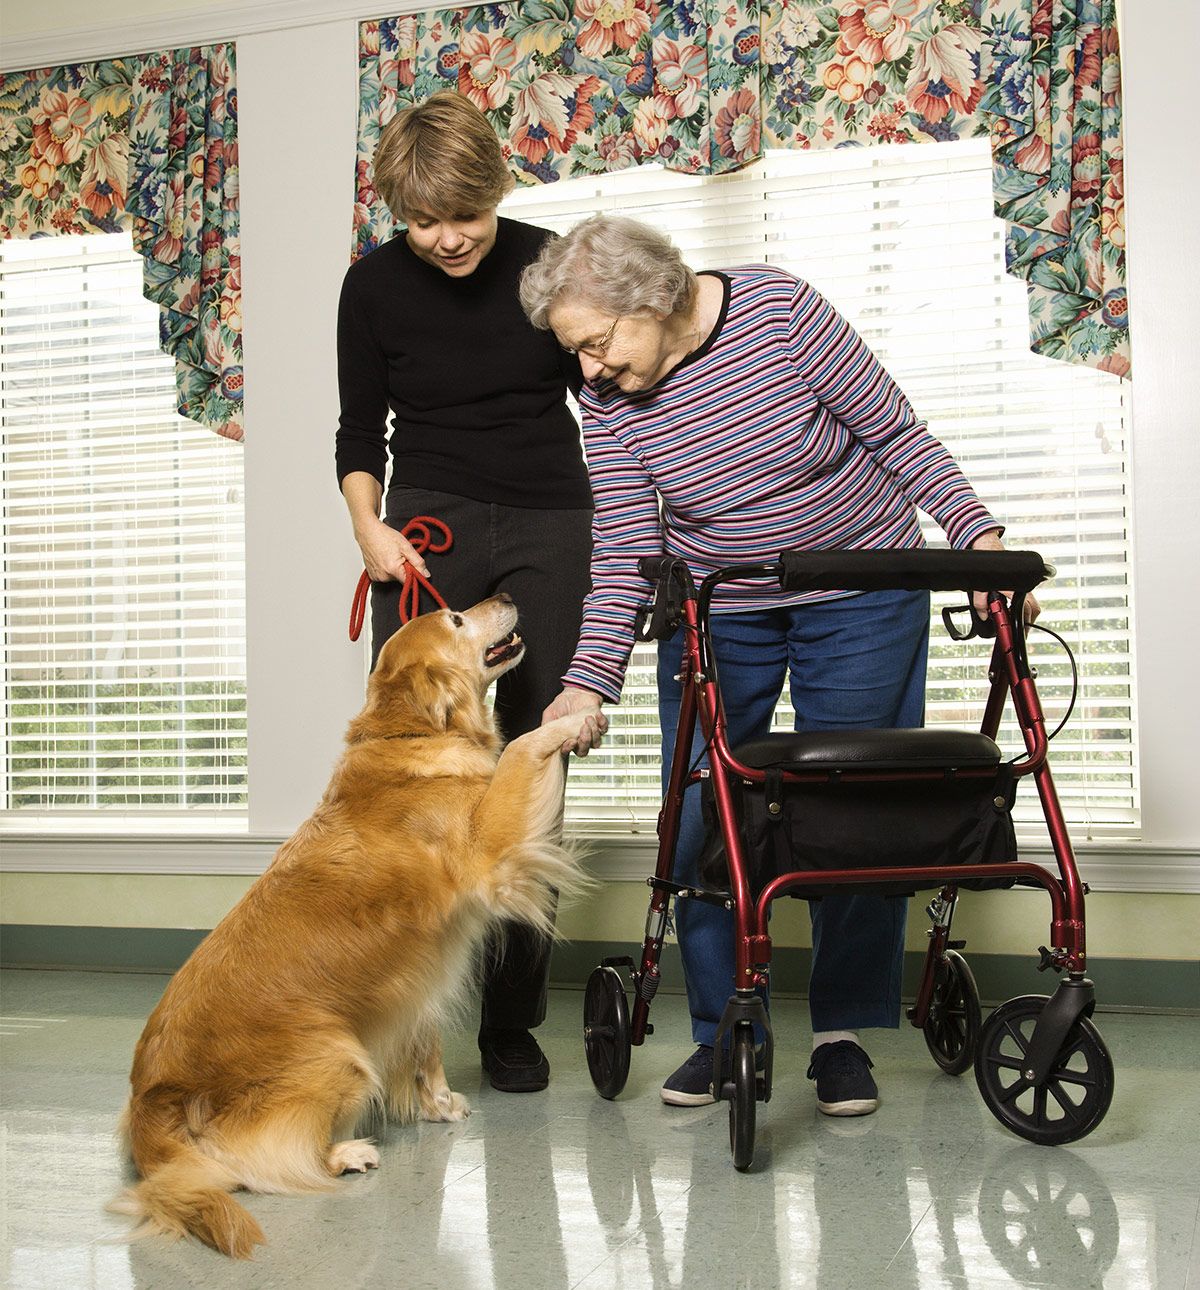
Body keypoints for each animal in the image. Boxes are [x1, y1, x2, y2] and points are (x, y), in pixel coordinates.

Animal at [112, 595, 588, 1259]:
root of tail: (149, 1102)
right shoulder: (491, 845)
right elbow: (520, 748)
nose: (508, 599)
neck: (413, 734)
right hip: (342, 1056)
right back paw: (344, 1154)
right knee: (253, 1163)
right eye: (456, 619)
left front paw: (438, 1105)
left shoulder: (417, 982)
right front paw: (570, 722)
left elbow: (424, 1047)